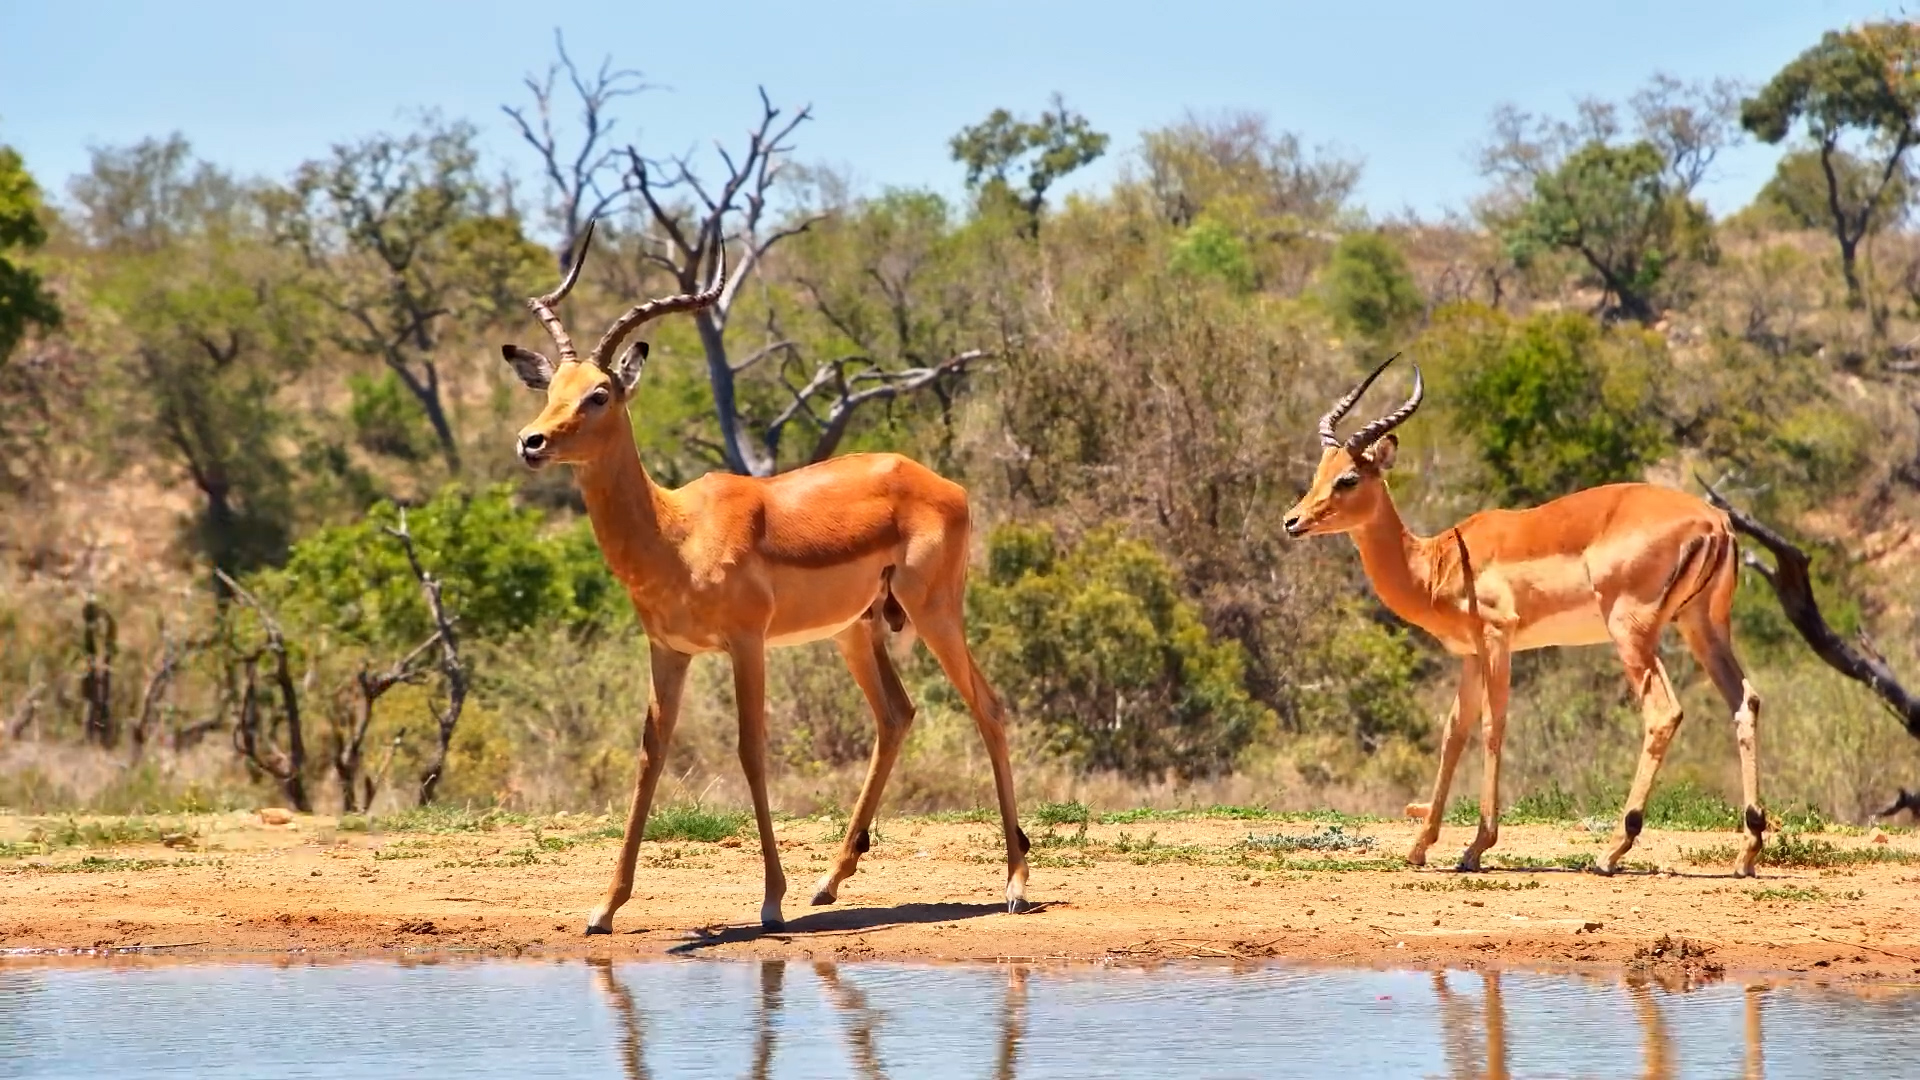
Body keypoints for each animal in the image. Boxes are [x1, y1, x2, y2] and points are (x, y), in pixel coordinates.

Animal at [502, 222, 1029, 933]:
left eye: (599, 394)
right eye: (551, 388)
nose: (532, 442)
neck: (676, 533)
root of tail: (942, 483)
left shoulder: (747, 644)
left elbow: (751, 750)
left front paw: (771, 898)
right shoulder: (668, 650)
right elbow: (650, 756)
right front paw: (604, 907)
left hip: (934, 612)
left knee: (989, 708)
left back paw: (1016, 883)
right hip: (855, 630)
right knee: (896, 715)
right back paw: (829, 883)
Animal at [1283, 355, 1765, 876]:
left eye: (1348, 478)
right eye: (1320, 471)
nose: (1292, 521)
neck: (1435, 563)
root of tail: (1716, 522)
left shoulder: (1498, 638)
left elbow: (1493, 727)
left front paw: (1476, 846)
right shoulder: (1471, 654)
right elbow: (1455, 731)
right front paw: (1420, 845)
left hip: (1631, 632)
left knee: (1663, 712)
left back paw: (1612, 850)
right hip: (1703, 627)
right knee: (1746, 701)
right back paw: (1748, 849)